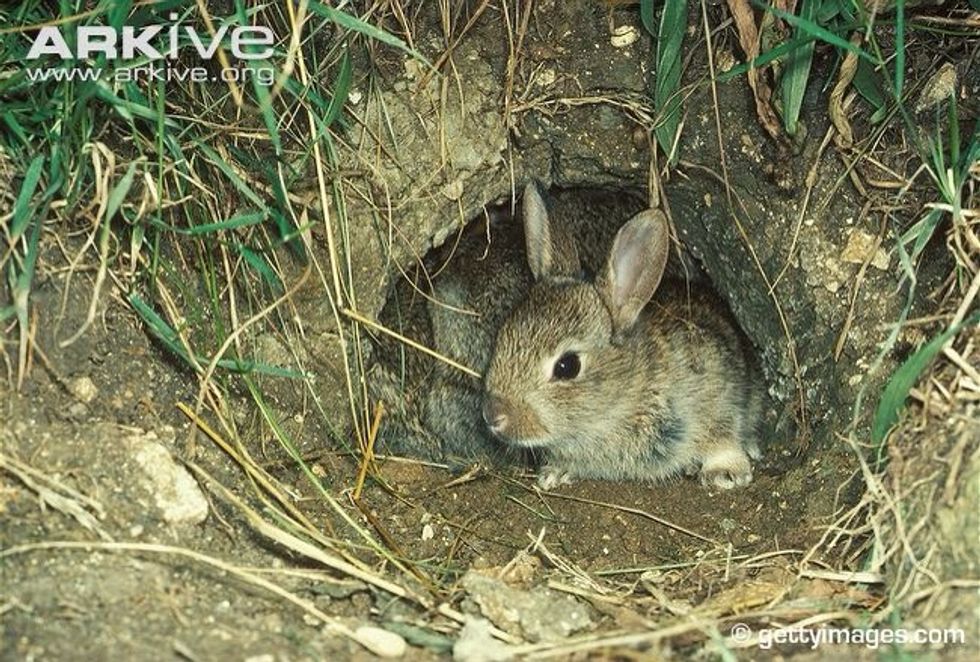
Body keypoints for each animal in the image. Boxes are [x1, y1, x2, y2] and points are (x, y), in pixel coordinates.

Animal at [481, 185, 763, 490]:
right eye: (502, 335)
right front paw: (554, 473)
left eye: (567, 366)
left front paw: (725, 472)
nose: (493, 415)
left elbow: (722, 433)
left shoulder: (718, 391)